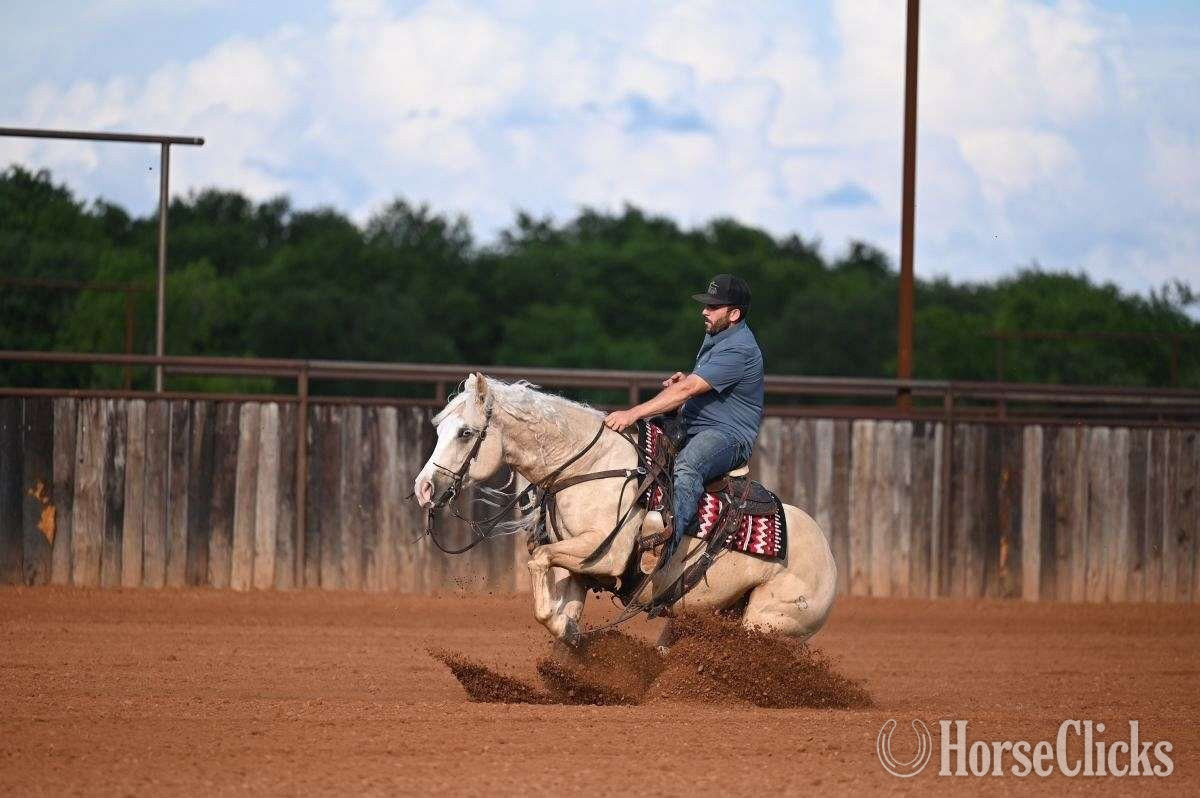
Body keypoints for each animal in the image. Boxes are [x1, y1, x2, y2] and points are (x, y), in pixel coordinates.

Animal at [413, 374, 838, 649]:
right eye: (440, 429)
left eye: (465, 432)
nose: (424, 488)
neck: (590, 466)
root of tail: (829, 557)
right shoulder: (578, 568)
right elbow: (559, 597)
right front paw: (567, 634)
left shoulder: (606, 556)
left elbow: (540, 562)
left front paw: (565, 629)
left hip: (768, 622)